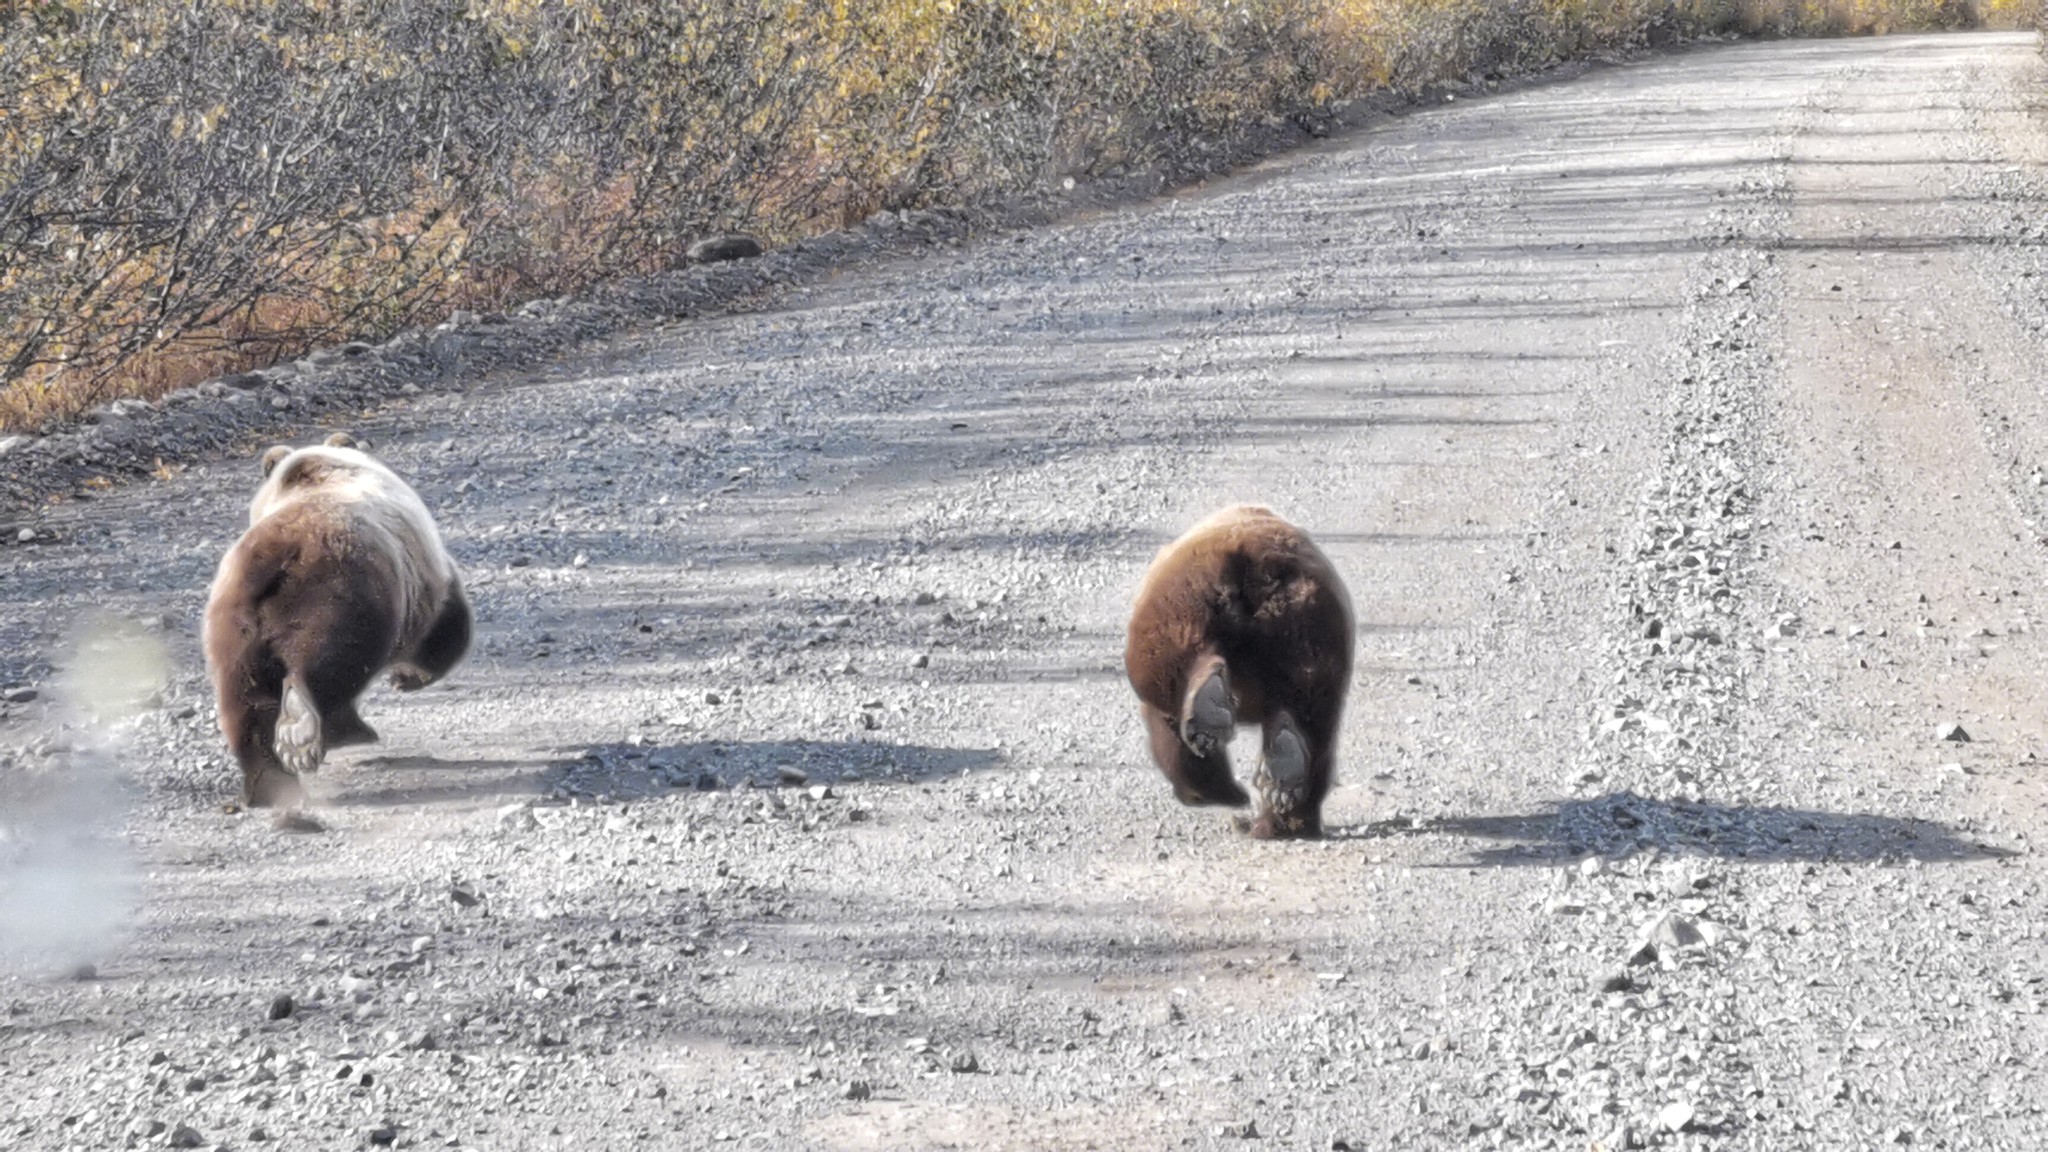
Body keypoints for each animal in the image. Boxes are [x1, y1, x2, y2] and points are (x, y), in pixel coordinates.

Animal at [200, 432, 471, 807]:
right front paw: (406, 677)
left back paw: (268, 782)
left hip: (235, 626)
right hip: (341, 594)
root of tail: (272, 555)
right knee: (329, 663)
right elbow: (445, 631)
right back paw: (305, 733)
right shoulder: (426, 576)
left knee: (244, 700)